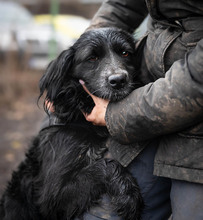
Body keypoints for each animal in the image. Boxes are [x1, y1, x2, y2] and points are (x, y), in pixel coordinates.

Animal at [0, 28, 143, 219]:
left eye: (125, 53)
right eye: (92, 58)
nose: (118, 80)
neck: (80, 119)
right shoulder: (51, 197)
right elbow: (106, 165)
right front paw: (129, 195)